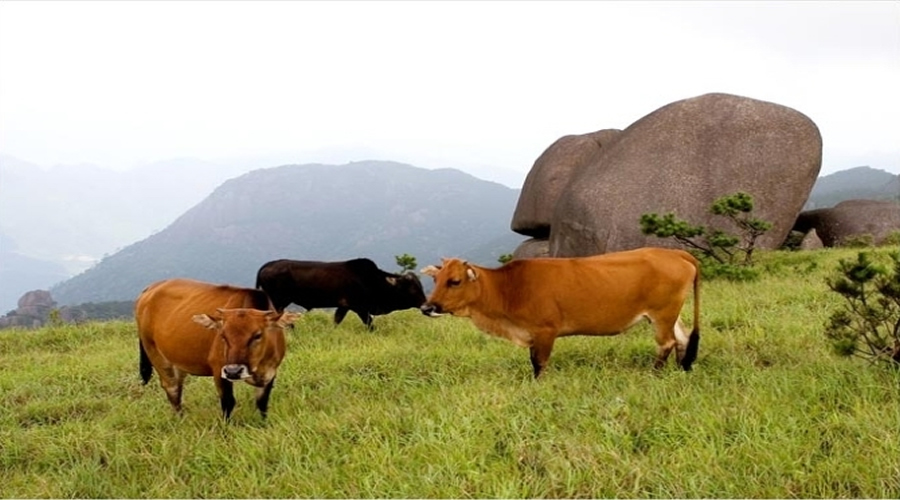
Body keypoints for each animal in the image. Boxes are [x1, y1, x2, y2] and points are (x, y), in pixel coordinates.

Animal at [135, 280, 300, 420]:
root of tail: (150, 289)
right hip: (154, 352)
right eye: (223, 335)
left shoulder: (271, 371)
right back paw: (180, 420)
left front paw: (263, 424)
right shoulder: (219, 369)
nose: (234, 371)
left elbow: (262, 403)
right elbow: (228, 402)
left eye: (257, 335)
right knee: (172, 388)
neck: (257, 365)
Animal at [255, 260, 428, 330]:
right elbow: (369, 324)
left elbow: (337, 321)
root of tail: (267, 265)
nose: (426, 306)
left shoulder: (345, 306)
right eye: (412, 288)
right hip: (278, 301)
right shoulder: (358, 307)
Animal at [418, 248, 700, 376]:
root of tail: (673, 252)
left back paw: (655, 374)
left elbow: (539, 364)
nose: (427, 307)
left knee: (666, 343)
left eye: (454, 281)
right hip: (670, 314)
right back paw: (682, 369)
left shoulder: (546, 331)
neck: (509, 287)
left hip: (662, 314)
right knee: (682, 339)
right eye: (435, 279)